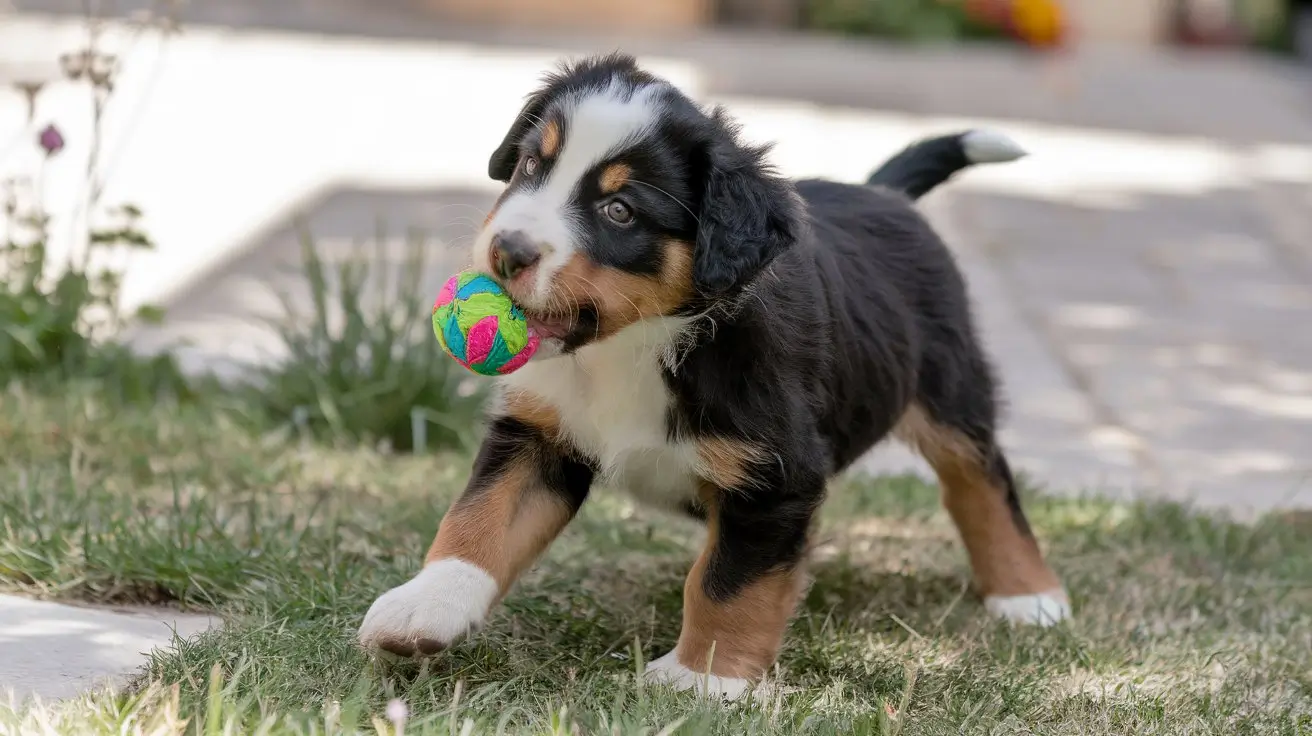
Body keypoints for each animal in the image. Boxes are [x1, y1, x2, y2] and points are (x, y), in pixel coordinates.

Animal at [356, 53, 1065, 697]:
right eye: (533, 165)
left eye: (620, 211)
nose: (507, 251)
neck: (634, 347)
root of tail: (885, 195)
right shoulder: (539, 434)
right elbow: (478, 519)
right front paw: (424, 607)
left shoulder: (776, 476)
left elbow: (729, 580)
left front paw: (704, 679)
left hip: (951, 390)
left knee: (982, 482)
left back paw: (1027, 595)